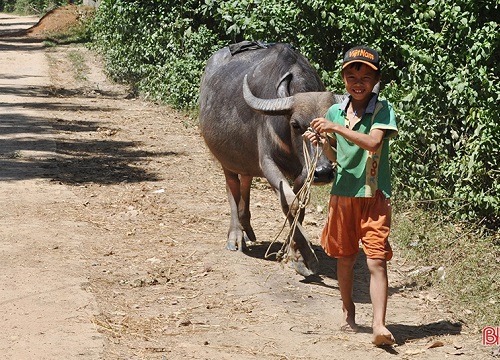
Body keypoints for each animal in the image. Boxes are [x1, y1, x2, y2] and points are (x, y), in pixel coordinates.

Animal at [199, 40, 344, 276]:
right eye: (296, 124)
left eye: (331, 125)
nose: (323, 172)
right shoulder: (268, 163)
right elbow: (290, 203)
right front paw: (303, 257)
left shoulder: (304, 172)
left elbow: (298, 206)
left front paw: (294, 252)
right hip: (226, 159)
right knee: (232, 189)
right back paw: (235, 236)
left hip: (246, 160)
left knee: (245, 182)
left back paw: (247, 226)